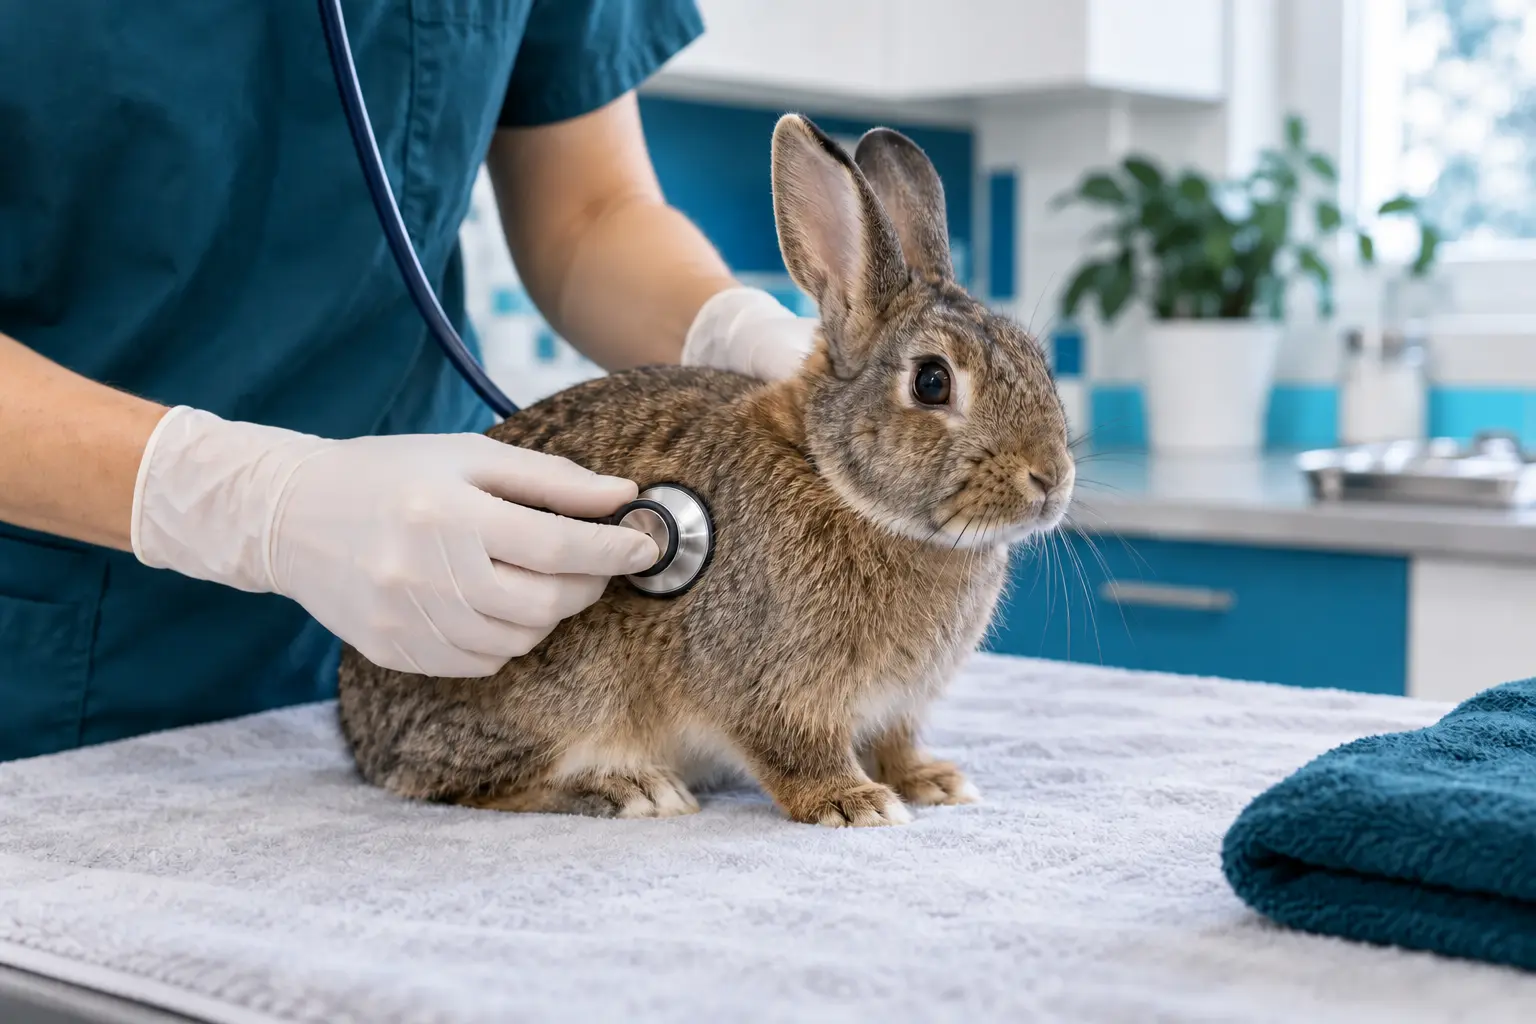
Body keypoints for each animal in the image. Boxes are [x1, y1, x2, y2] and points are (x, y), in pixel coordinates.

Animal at [336, 113, 1074, 828]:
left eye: (1038, 359)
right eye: (931, 382)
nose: (1051, 478)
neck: (834, 478)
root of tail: (360, 735)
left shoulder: (897, 706)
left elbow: (896, 741)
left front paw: (932, 781)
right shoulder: (772, 682)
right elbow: (795, 749)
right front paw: (854, 802)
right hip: (557, 685)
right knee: (460, 782)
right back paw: (629, 789)